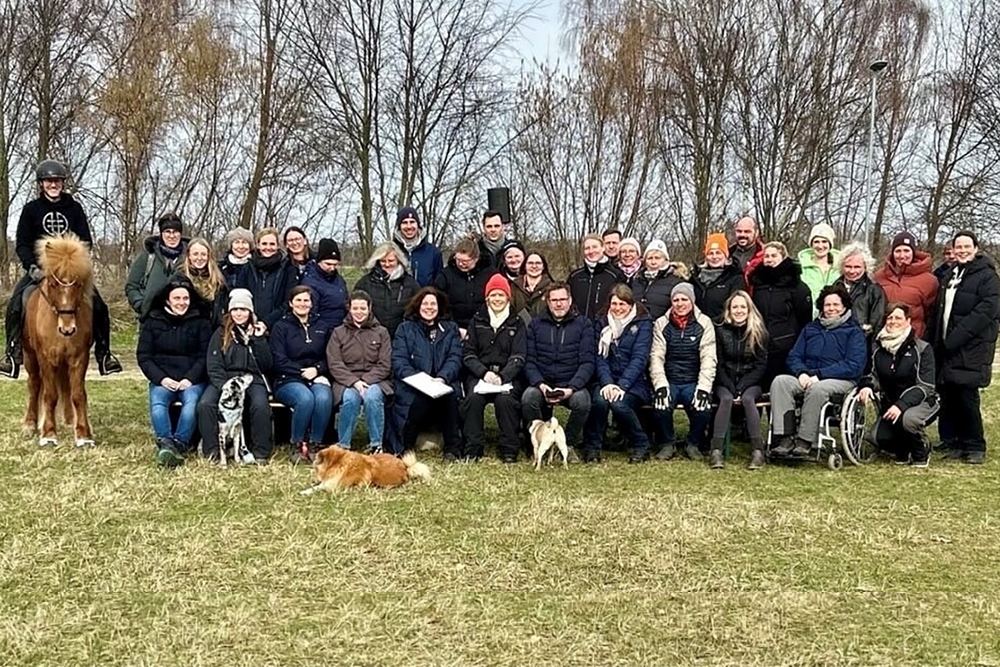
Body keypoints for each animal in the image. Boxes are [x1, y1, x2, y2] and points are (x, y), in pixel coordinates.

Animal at [22, 235, 96, 448]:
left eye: (78, 284)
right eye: (54, 285)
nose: (67, 329)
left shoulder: (79, 357)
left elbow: (78, 394)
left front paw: (83, 434)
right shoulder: (45, 358)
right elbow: (49, 394)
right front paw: (48, 433)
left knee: (64, 384)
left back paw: (70, 420)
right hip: (30, 357)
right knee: (34, 385)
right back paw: (30, 425)